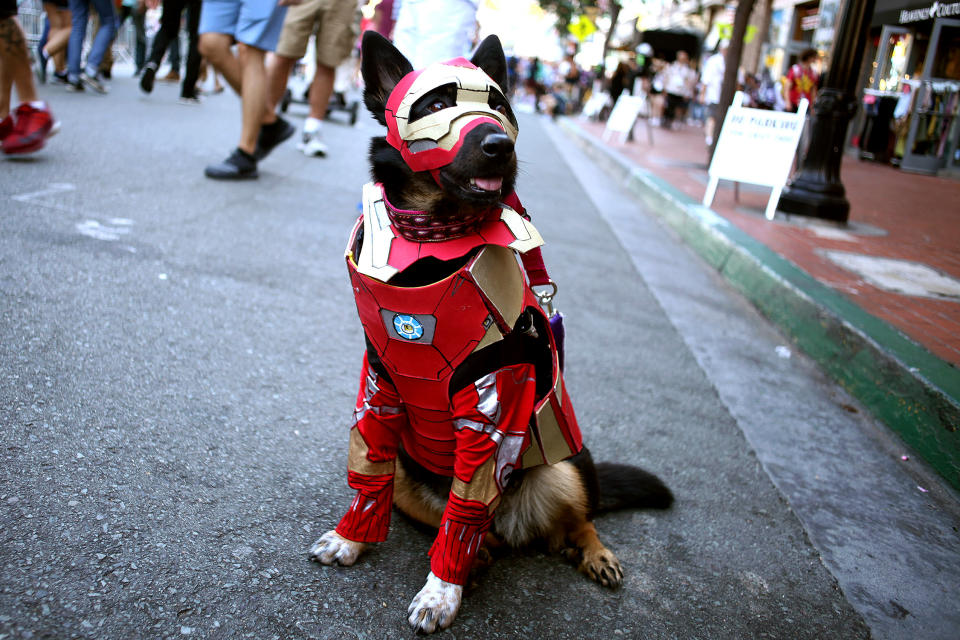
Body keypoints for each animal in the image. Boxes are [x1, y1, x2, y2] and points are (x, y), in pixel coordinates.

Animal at [312, 33, 672, 636]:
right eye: (435, 104)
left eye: (500, 105)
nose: (499, 144)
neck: (433, 240)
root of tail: (513, 525)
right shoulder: (379, 393)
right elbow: (369, 475)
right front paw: (350, 539)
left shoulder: (492, 409)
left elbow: (467, 508)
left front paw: (441, 591)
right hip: (413, 479)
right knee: (468, 529)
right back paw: (479, 557)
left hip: (564, 468)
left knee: (573, 522)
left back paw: (591, 553)